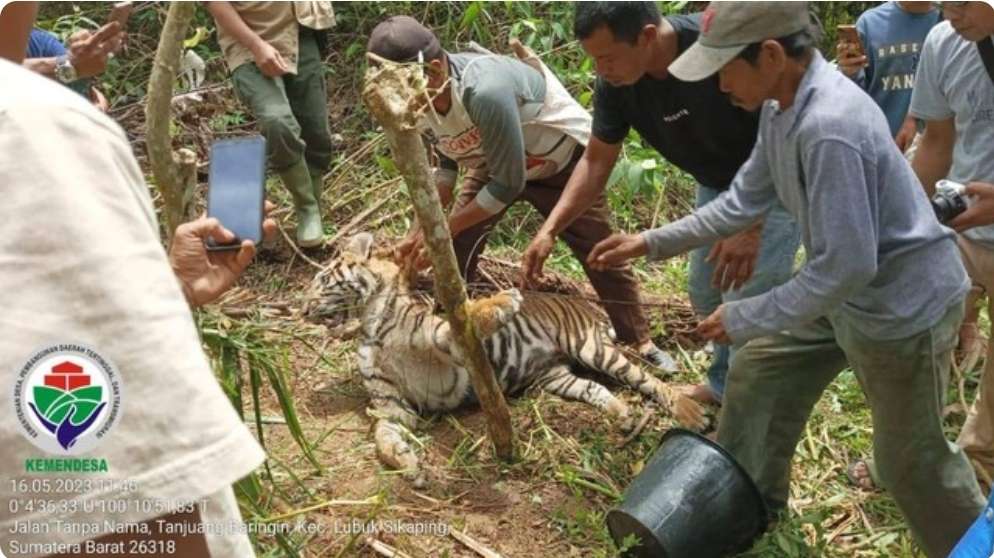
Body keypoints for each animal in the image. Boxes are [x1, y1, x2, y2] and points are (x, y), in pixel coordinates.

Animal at [298, 234, 700, 488]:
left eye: (322, 279)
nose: (302, 309)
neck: (368, 324)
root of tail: (586, 305)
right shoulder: (392, 405)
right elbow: (383, 436)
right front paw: (408, 463)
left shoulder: (445, 342)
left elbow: (465, 317)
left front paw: (504, 300)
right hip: (554, 376)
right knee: (594, 388)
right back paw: (623, 414)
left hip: (590, 348)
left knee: (648, 380)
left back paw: (690, 412)